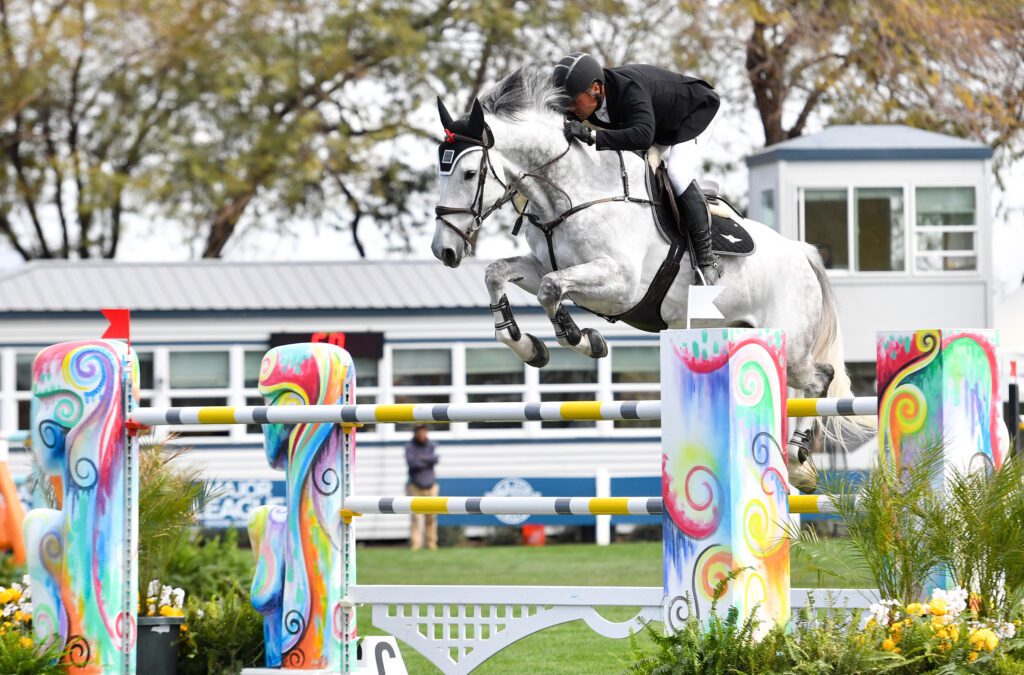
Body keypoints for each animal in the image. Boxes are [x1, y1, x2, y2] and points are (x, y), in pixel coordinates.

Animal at [430, 69, 862, 484]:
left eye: (468, 173)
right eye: (441, 171)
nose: (443, 251)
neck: (572, 194)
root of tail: (802, 253)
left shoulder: (620, 285)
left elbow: (552, 291)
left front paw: (583, 339)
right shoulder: (544, 267)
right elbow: (497, 273)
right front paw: (526, 345)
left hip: (792, 343)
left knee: (819, 379)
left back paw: (799, 458)